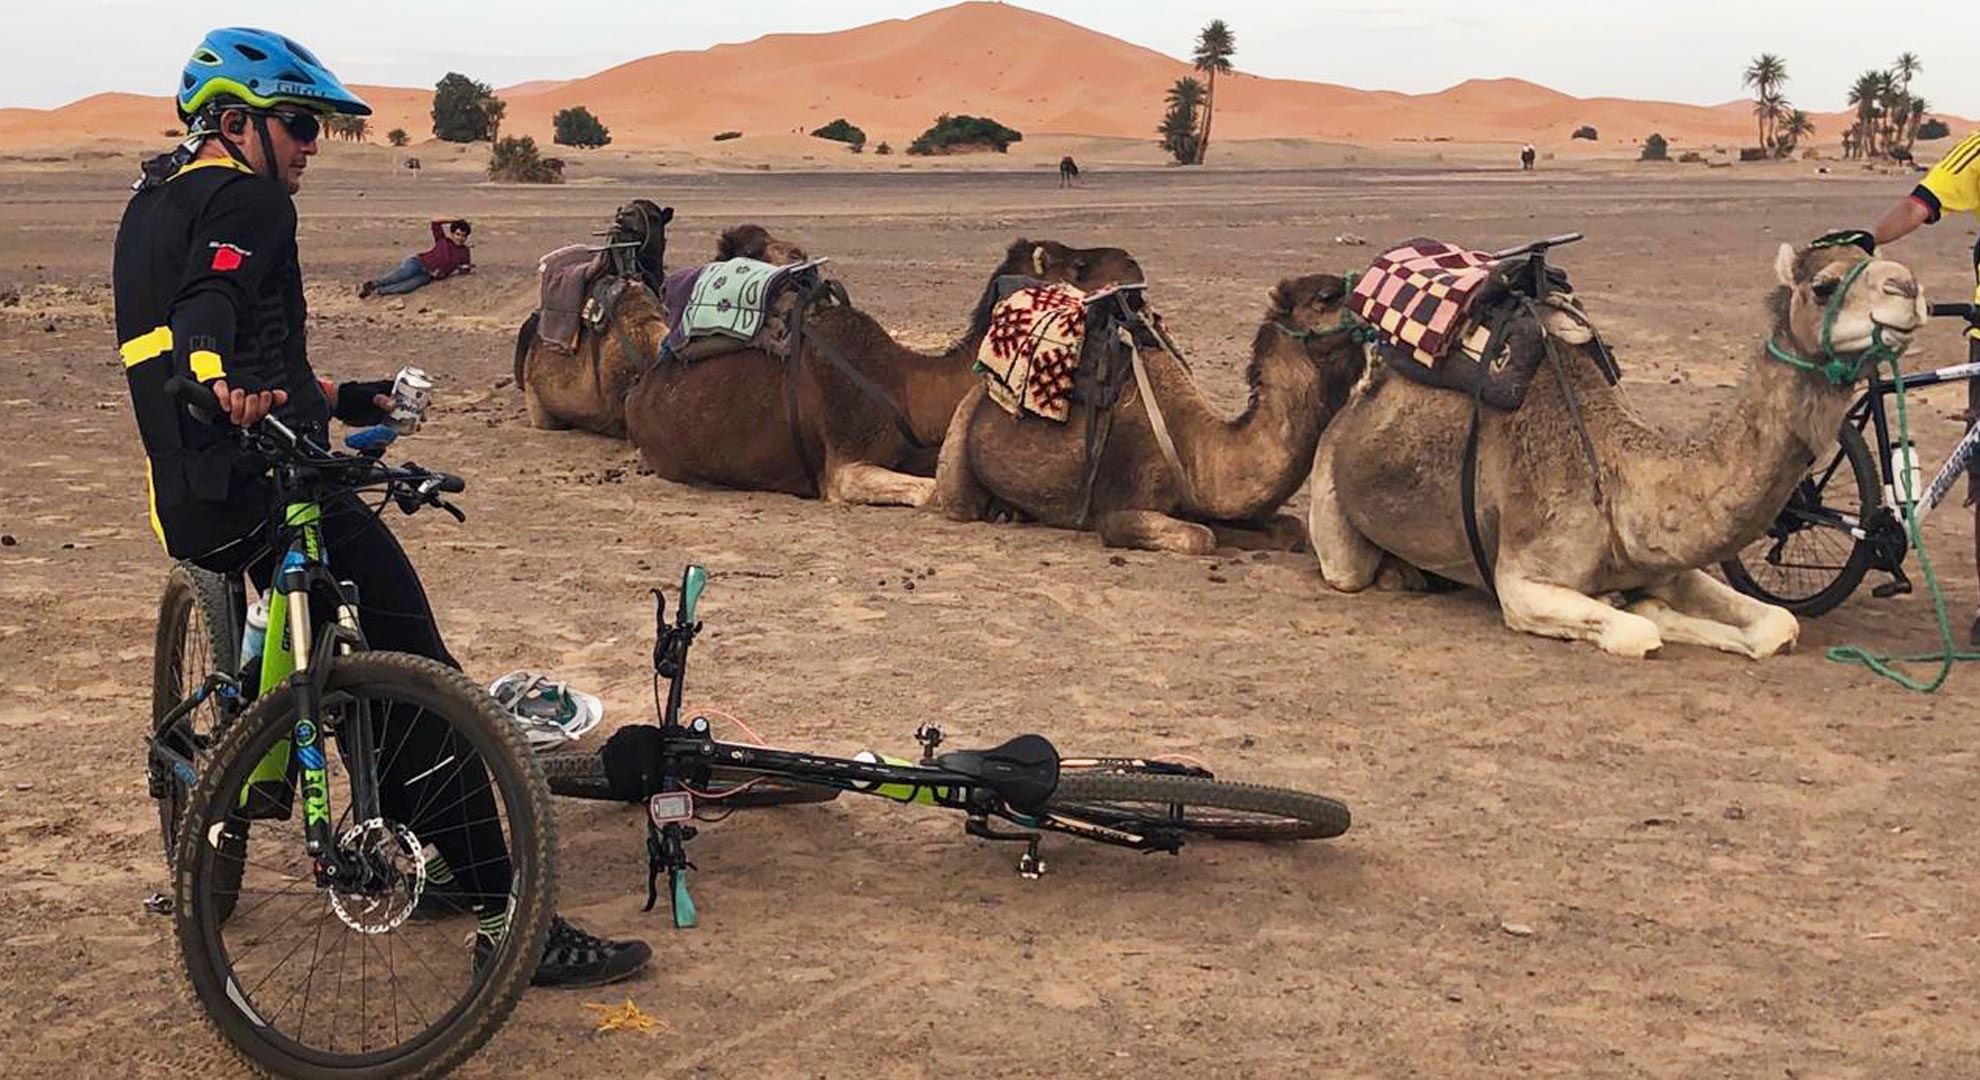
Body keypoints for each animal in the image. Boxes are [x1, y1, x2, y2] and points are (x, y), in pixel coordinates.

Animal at [617, 237, 1148, 503]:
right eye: (1078, 267)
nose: (1133, 261)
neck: (907, 385)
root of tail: (639, 391)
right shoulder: (845, 464)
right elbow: (929, 494)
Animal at [934, 273, 1370, 550]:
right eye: (1326, 297)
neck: (1197, 448)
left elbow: (1289, 530)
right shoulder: (1118, 513)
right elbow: (1200, 538)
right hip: (960, 445)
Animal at [1306, 237, 1924, 657]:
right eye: (1824, 286)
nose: (1909, 288)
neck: (1619, 474)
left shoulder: (1668, 562)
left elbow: (1779, 624)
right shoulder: (1521, 582)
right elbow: (1639, 631)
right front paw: (1633, 610)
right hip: (1333, 500)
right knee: (1348, 567)